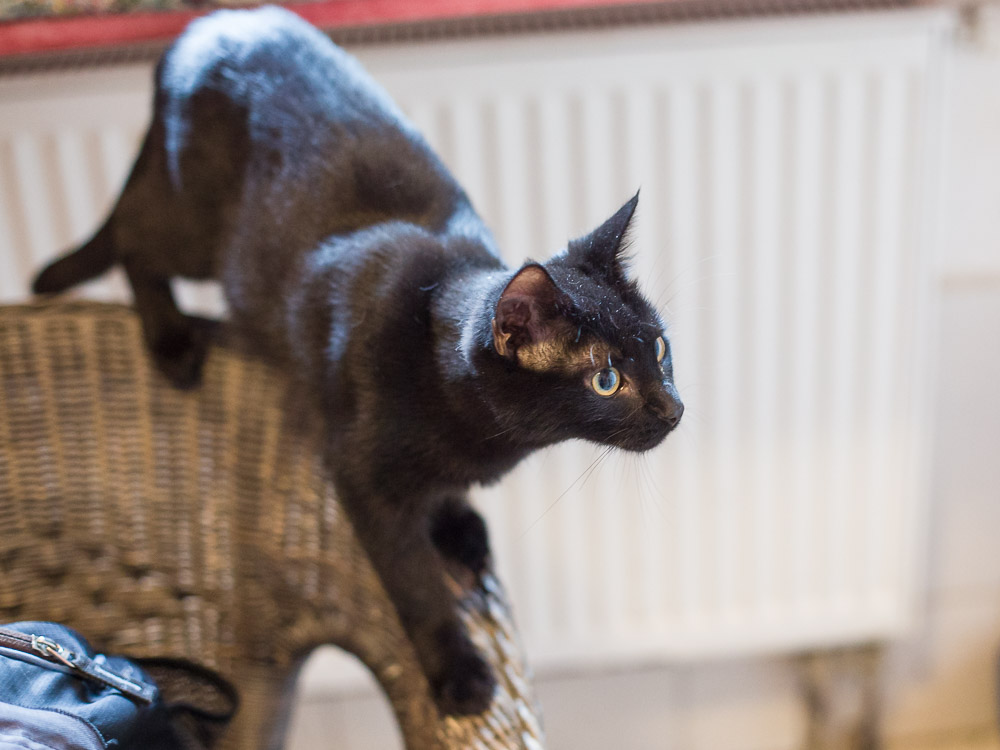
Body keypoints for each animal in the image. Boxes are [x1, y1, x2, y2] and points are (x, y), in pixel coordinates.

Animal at [35, 5, 684, 720]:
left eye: (659, 348)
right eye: (607, 379)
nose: (675, 408)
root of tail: (213, 22)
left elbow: (442, 500)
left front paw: (456, 526)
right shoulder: (363, 483)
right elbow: (417, 587)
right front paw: (459, 672)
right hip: (199, 231)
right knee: (135, 237)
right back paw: (171, 341)